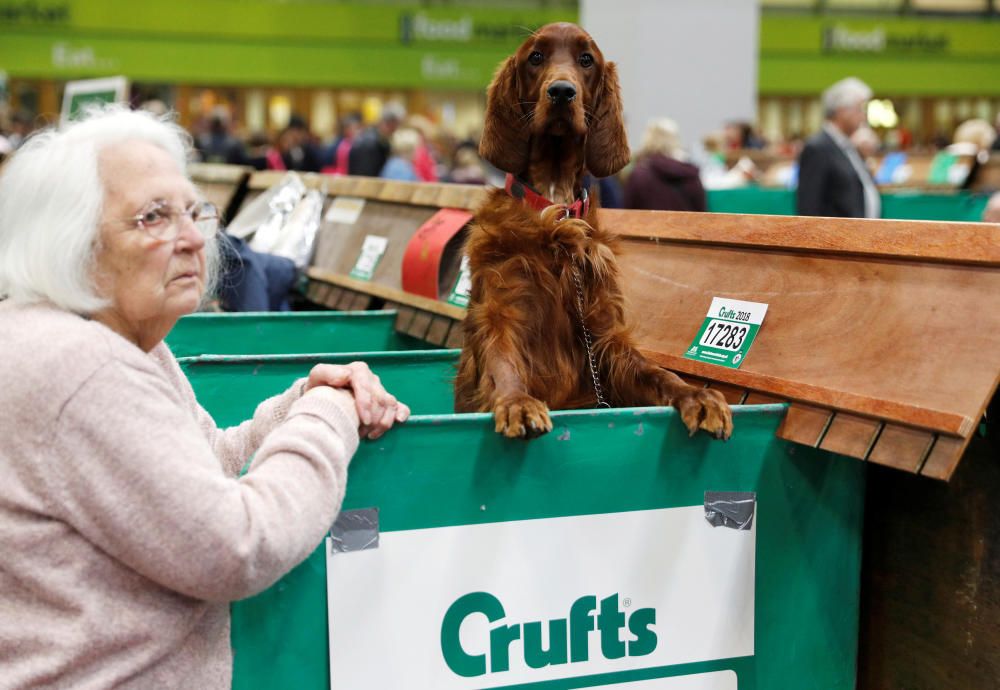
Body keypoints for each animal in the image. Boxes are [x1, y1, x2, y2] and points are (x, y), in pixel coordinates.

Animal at [456, 25, 736, 440]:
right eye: (535, 57)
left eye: (586, 60)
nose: (561, 92)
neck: (555, 213)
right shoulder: (500, 311)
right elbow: (503, 363)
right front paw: (517, 403)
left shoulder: (604, 334)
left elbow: (657, 373)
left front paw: (698, 396)